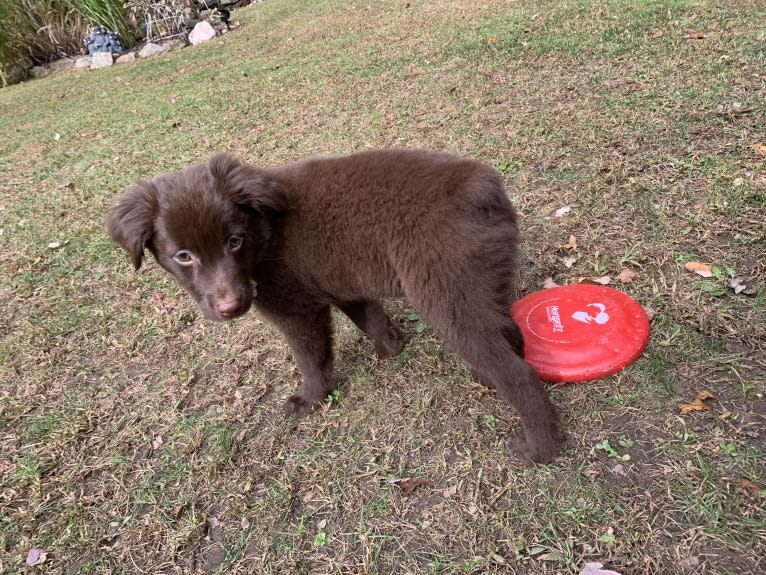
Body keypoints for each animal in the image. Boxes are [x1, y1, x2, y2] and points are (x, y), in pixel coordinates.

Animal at [106, 148, 564, 464]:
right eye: (183, 256)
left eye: (234, 241)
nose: (230, 307)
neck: (264, 231)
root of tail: (479, 187)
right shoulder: (343, 285)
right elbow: (371, 318)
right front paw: (391, 349)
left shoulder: (298, 309)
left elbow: (312, 359)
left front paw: (309, 399)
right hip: (482, 285)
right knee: (508, 334)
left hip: (448, 296)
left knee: (519, 374)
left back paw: (538, 448)